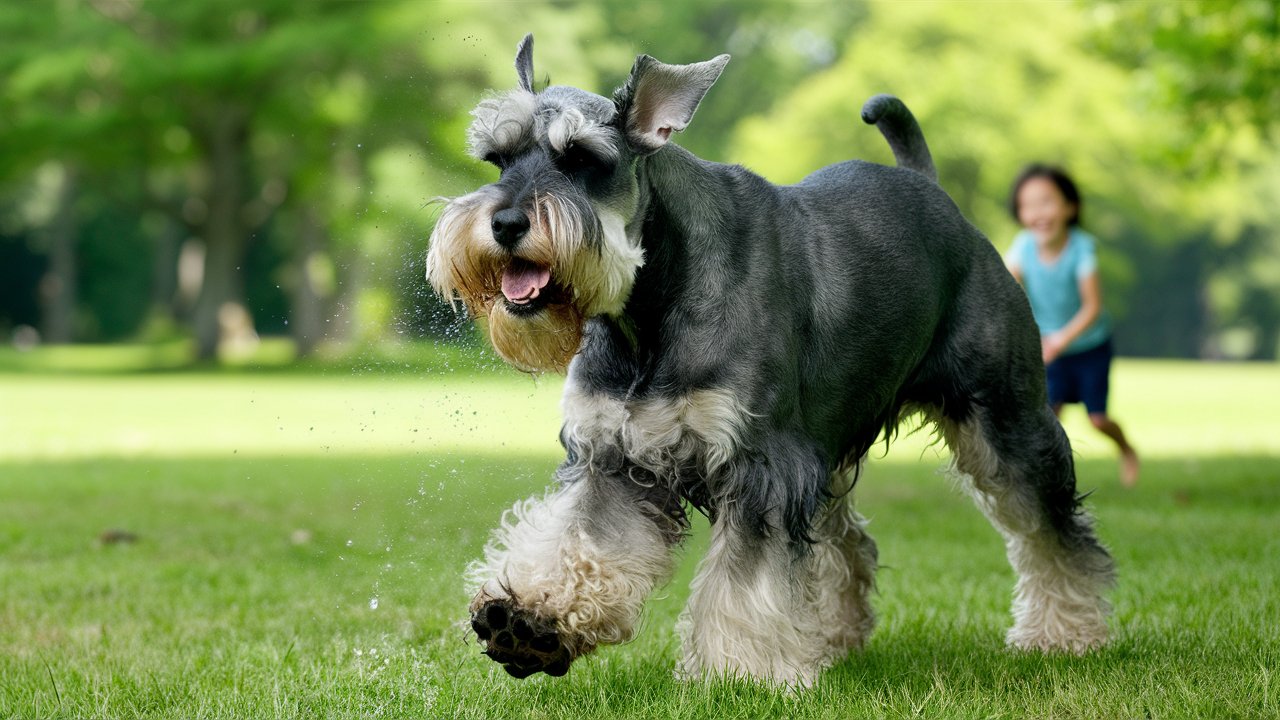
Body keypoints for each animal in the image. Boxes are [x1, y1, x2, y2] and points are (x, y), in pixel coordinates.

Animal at [424, 35, 1116, 681]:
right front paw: (527, 619)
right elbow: (580, 540)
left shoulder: (763, 464)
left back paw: (1067, 632)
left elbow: (747, 582)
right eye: (497, 157)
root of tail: (932, 191)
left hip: (1003, 419)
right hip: (832, 443)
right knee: (848, 542)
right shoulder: (613, 459)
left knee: (1053, 531)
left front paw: (740, 673)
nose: (505, 223)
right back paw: (830, 637)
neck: (647, 310)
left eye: (581, 159)